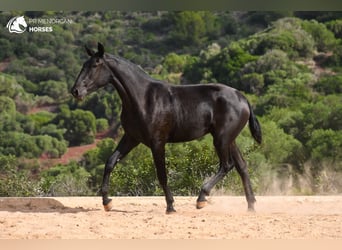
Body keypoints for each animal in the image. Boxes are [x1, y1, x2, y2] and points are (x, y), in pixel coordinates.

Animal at [71, 42, 260, 213]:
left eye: (95, 65)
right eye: (83, 65)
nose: (76, 91)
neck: (143, 98)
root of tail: (242, 98)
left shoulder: (157, 142)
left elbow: (162, 175)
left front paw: (170, 206)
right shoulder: (131, 138)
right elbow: (110, 162)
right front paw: (107, 202)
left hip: (221, 139)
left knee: (227, 165)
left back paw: (201, 198)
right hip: (229, 140)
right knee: (242, 167)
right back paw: (250, 206)